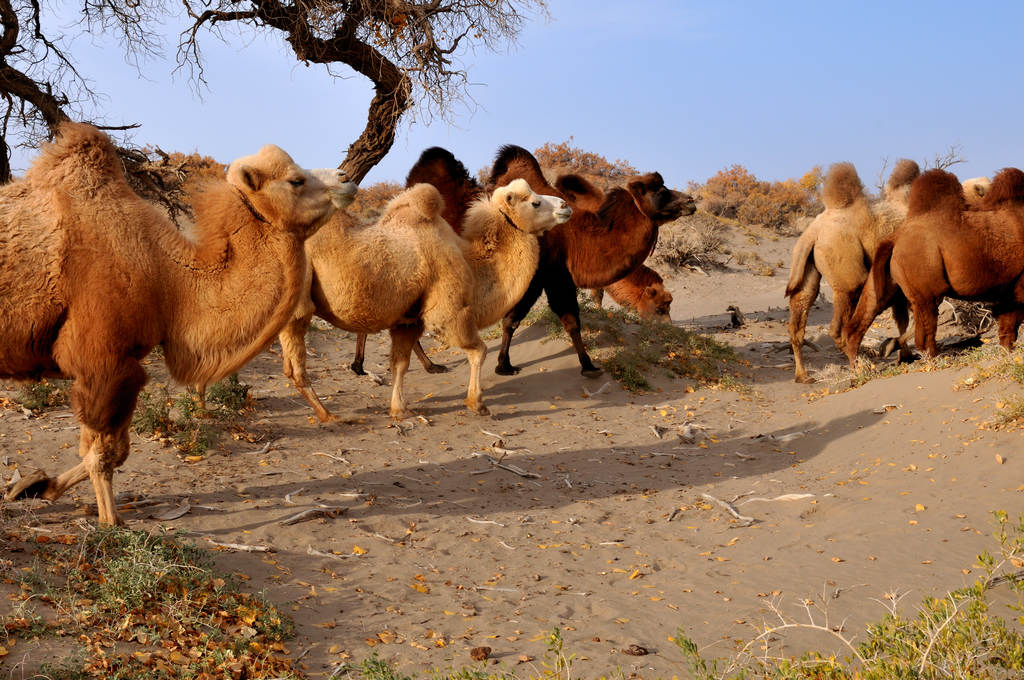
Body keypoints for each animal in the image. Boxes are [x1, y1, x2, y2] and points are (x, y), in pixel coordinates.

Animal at [0, 122, 352, 524]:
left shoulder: (119, 366)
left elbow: (113, 450)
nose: (347, 178)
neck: (167, 277)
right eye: (296, 180)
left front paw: (36, 487)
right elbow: (102, 453)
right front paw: (111, 522)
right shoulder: (104, 362)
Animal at [276, 176, 573, 419]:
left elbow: (399, 364)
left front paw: (399, 410)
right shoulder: (446, 311)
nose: (565, 205)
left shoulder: (407, 321)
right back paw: (328, 415)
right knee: (295, 367)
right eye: (535, 202)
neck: (472, 263)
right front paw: (477, 404)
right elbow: (479, 351)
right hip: (297, 301)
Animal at [487, 145, 696, 376]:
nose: (691, 201)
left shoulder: (557, 275)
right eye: (661, 191)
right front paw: (504, 366)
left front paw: (587, 365)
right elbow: (514, 320)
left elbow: (571, 320)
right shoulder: (539, 276)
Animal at [782, 158, 921, 383]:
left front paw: (905, 356)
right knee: (839, 326)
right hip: (846, 272)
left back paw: (803, 375)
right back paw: (861, 366)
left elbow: (902, 319)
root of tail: (812, 233)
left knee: (798, 321)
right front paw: (894, 349)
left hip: (807, 267)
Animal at [843, 166, 1024, 364]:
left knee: (866, 312)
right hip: (923, 278)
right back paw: (934, 358)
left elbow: (1007, 320)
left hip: (886, 278)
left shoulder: (1009, 287)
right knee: (925, 324)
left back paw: (864, 363)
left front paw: (1007, 349)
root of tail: (895, 238)